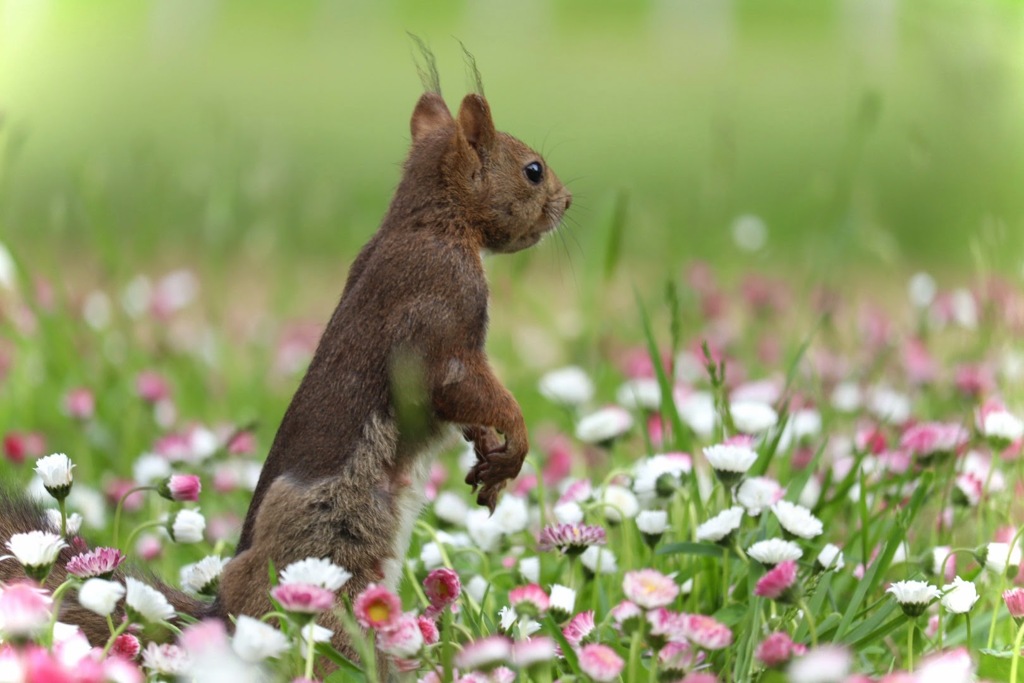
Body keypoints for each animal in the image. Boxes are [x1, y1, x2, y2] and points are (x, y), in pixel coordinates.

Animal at [0, 65, 569, 671]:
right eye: (533, 170)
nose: (567, 200)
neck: (430, 223)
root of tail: (225, 619)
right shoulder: (440, 310)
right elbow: (459, 386)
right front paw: (514, 439)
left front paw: (487, 446)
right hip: (327, 570)